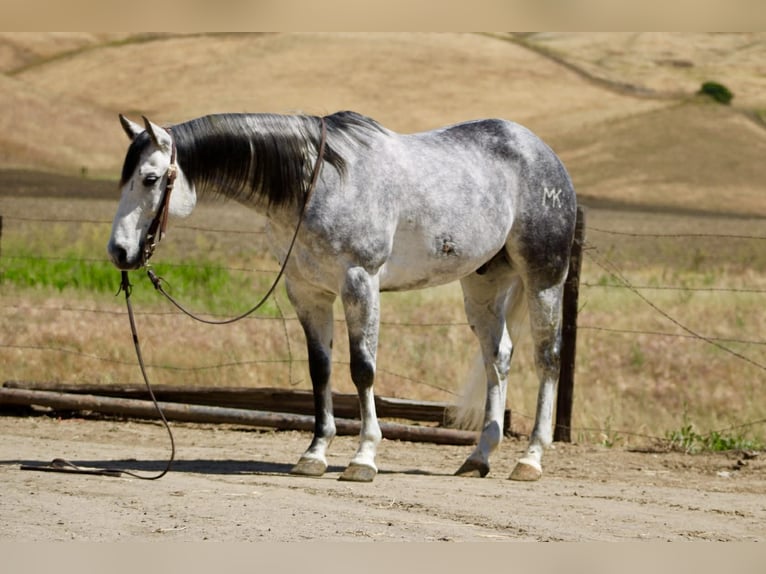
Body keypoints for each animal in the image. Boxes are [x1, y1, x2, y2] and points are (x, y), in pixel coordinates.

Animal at [107, 110, 577, 482]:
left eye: (150, 178)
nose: (119, 252)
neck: (319, 183)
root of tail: (543, 154)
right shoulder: (308, 292)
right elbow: (321, 371)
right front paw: (314, 455)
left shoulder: (359, 282)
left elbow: (362, 370)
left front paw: (363, 458)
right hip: (483, 283)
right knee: (498, 357)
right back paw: (479, 457)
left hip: (544, 278)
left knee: (548, 358)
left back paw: (530, 459)